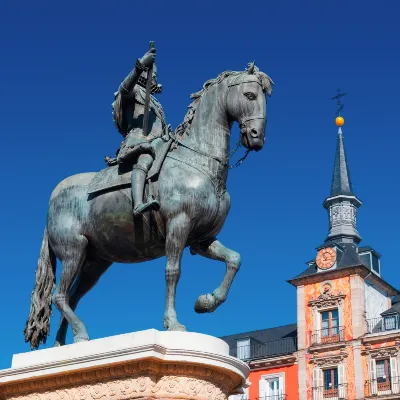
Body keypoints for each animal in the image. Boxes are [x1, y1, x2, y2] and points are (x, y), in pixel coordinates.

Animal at [25, 61, 274, 346]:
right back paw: (81, 333)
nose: (256, 137)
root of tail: (53, 197)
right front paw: (173, 323)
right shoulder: (179, 225)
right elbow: (173, 272)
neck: (199, 163)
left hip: (94, 262)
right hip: (73, 250)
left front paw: (206, 302)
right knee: (60, 295)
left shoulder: (202, 239)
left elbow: (234, 260)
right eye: (250, 95)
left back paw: (66, 344)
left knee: (72, 297)